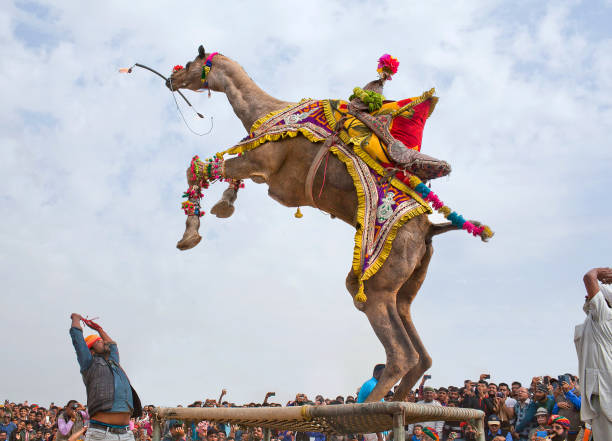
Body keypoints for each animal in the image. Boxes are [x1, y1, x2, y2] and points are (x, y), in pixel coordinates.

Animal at [165, 45, 490, 402]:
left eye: (190, 63)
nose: (170, 79)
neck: (264, 111)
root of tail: (431, 230)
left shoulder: (259, 163)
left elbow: (198, 168)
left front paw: (190, 235)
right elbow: (209, 171)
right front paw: (222, 206)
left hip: (376, 286)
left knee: (401, 354)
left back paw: (369, 410)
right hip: (404, 288)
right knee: (421, 354)